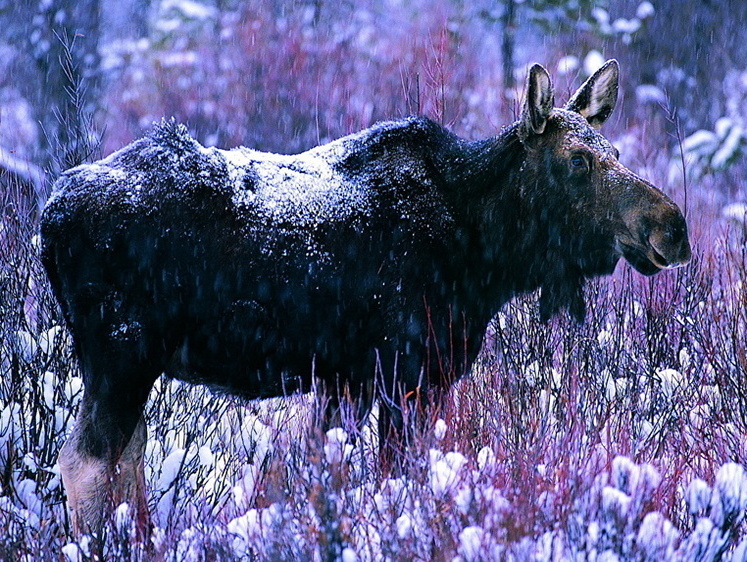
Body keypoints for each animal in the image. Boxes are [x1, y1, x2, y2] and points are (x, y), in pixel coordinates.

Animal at [41, 61, 688, 532]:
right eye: (577, 161)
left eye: (617, 153)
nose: (673, 227)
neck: (486, 253)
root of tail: (49, 216)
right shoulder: (408, 371)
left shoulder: (344, 379)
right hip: (122, 353)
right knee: (84, 462)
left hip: (126, 362)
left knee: (126, 458)